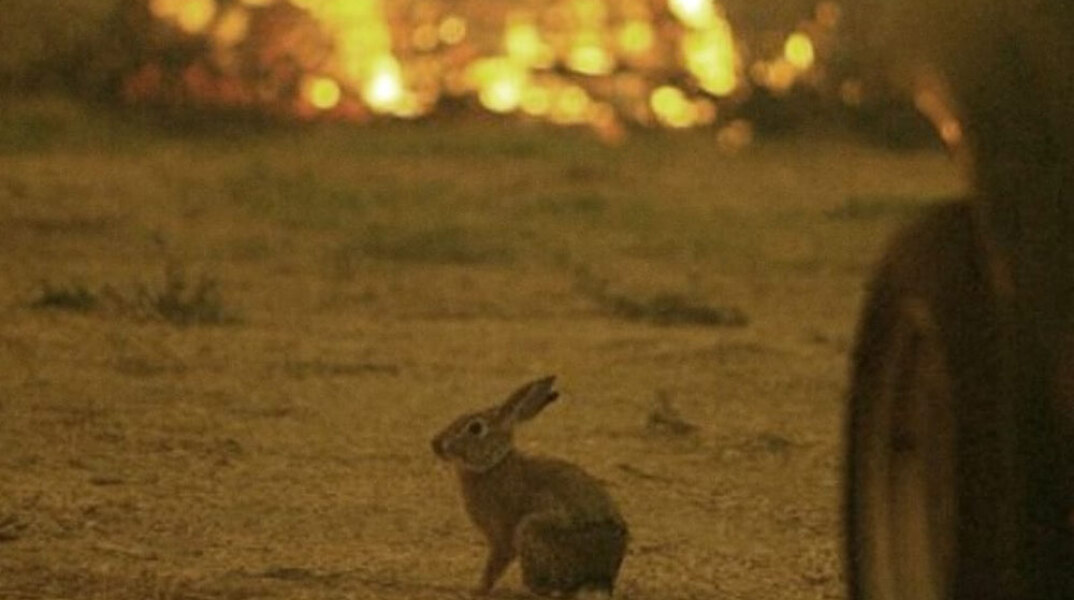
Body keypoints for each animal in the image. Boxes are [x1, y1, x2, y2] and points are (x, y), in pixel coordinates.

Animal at [429, 375, 627, 596]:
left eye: (475, 428)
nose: (435, 444)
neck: (494, 463)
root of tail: (601, 578)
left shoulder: (503, 536)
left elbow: (495, 564)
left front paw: (476, 589)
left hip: (532, 530)